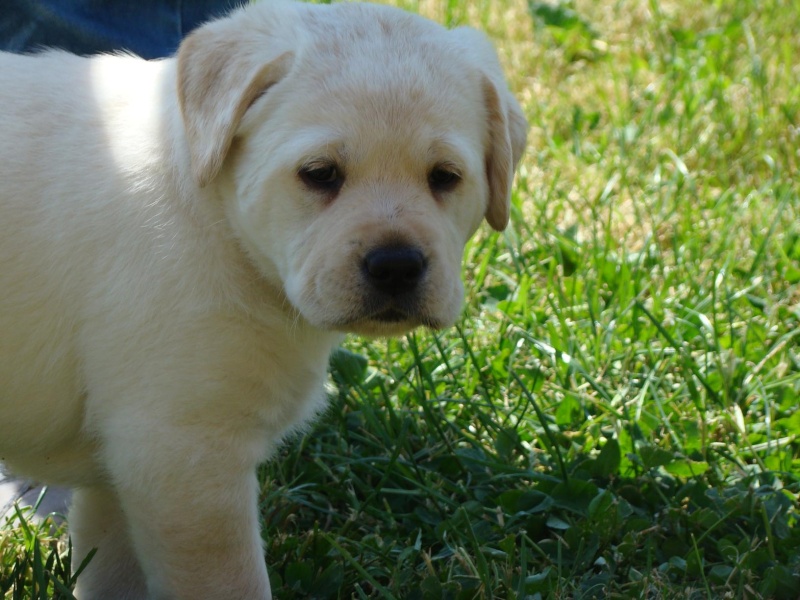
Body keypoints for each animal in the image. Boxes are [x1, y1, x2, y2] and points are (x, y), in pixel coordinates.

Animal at [0, 1, 524, 596]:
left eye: (445, 177)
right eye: (319, 174)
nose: (396, 265)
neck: (214, 217)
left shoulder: (123, 468)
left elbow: (112, 569)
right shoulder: (183, 455)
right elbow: (234, 580)